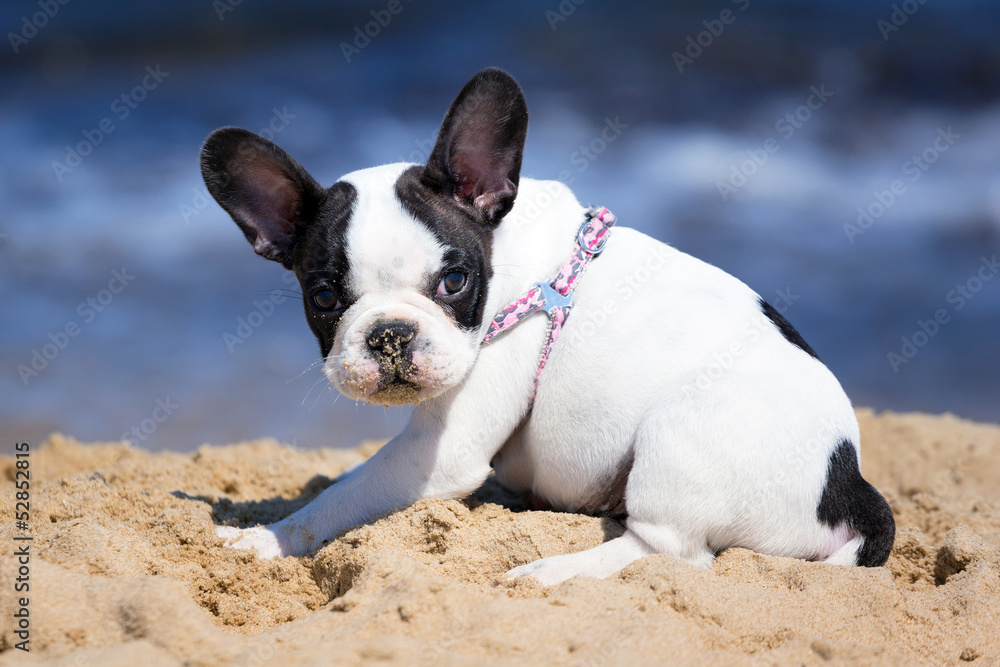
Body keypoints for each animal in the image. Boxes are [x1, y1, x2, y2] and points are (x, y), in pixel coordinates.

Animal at [199, 69, 896, 584]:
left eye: (453, 283)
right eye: (323, 296)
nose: (390, 333)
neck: (506, 255)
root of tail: (848, 486)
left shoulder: (441, 452)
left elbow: (341, 498)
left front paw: (267, 539)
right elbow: (347, 480)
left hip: (683, 428)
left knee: (668, 550)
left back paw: (549, 572)